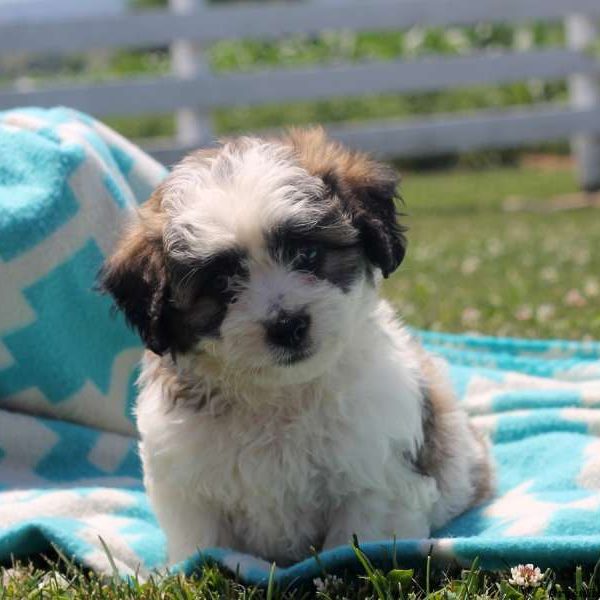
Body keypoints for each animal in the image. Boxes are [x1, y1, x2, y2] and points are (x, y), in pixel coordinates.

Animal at [99, 129, 492, 564]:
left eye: (308, 254)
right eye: (221, 283)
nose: (287, 325)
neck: (280, 393)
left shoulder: (377, 478)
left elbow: (356, 544)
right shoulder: (188, 488)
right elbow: (202, 545)